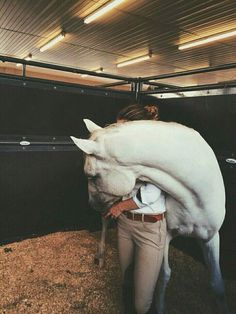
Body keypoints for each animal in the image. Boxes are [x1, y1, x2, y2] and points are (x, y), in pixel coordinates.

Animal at [71, 118, 228, 314]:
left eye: (92, 176)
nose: (92, 204)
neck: (194, 199)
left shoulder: (211, 237)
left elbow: (217, 284)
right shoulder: (166, 235)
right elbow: (164, 275)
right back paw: (100, 256)